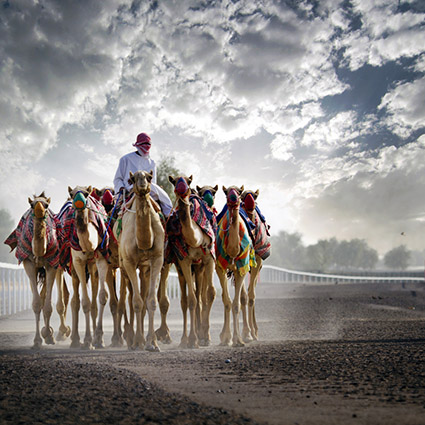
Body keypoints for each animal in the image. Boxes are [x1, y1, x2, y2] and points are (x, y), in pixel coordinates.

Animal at [4, 192, 60, 348]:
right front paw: (36, 341)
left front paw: (49, 337)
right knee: (40, 297)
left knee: (45, 295)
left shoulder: (52, 265)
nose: (39, 210)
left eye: (46, 204)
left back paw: (48, 333)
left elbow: (47, 305)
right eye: (31, 204)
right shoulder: (28, 263)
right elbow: (36, 304)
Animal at [112, 170, 164, 352]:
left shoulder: (157, 260)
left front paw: (152, 343)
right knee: (128, 299)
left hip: (144, 269)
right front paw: (139, 341)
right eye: (132, 179)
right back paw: (132, 340)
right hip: (124, 266)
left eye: (149, 177)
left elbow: (151, 301)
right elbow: (136, 303)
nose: (142, 183)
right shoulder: (128, 262)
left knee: (142, 296)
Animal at [164, 176, 214, 348]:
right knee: (186, 301)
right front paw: (192, 340)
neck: (196, 238)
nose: (182, 188)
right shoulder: (184, 261)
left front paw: (205, 337)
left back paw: (202, 334)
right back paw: (184, 340)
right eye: (174, 181)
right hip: (182, 269)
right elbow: (191, 300)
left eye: (188, 180)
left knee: (201, 297)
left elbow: (209, 294)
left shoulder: (208, 259)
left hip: (199, 268)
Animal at [215, 185, 255, 344]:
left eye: (239, 192)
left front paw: (238, 340)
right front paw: (227, 338)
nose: (233, 198)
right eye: (226, 192)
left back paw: (248, 334)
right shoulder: (220, 267)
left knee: (243, 297)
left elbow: (236, 304)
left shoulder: (241, 268)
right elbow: (227, 302)